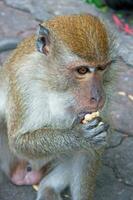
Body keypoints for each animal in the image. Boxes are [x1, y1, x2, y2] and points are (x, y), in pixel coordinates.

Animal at [1, 14, 117, 200]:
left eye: (101, 68)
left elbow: (93, 148)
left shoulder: (108, 85)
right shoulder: (21, 81)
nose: (98, 97)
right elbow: (19, 142)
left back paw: (49, 188)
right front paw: (78, 135)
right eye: (82, 70)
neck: (57, 85)